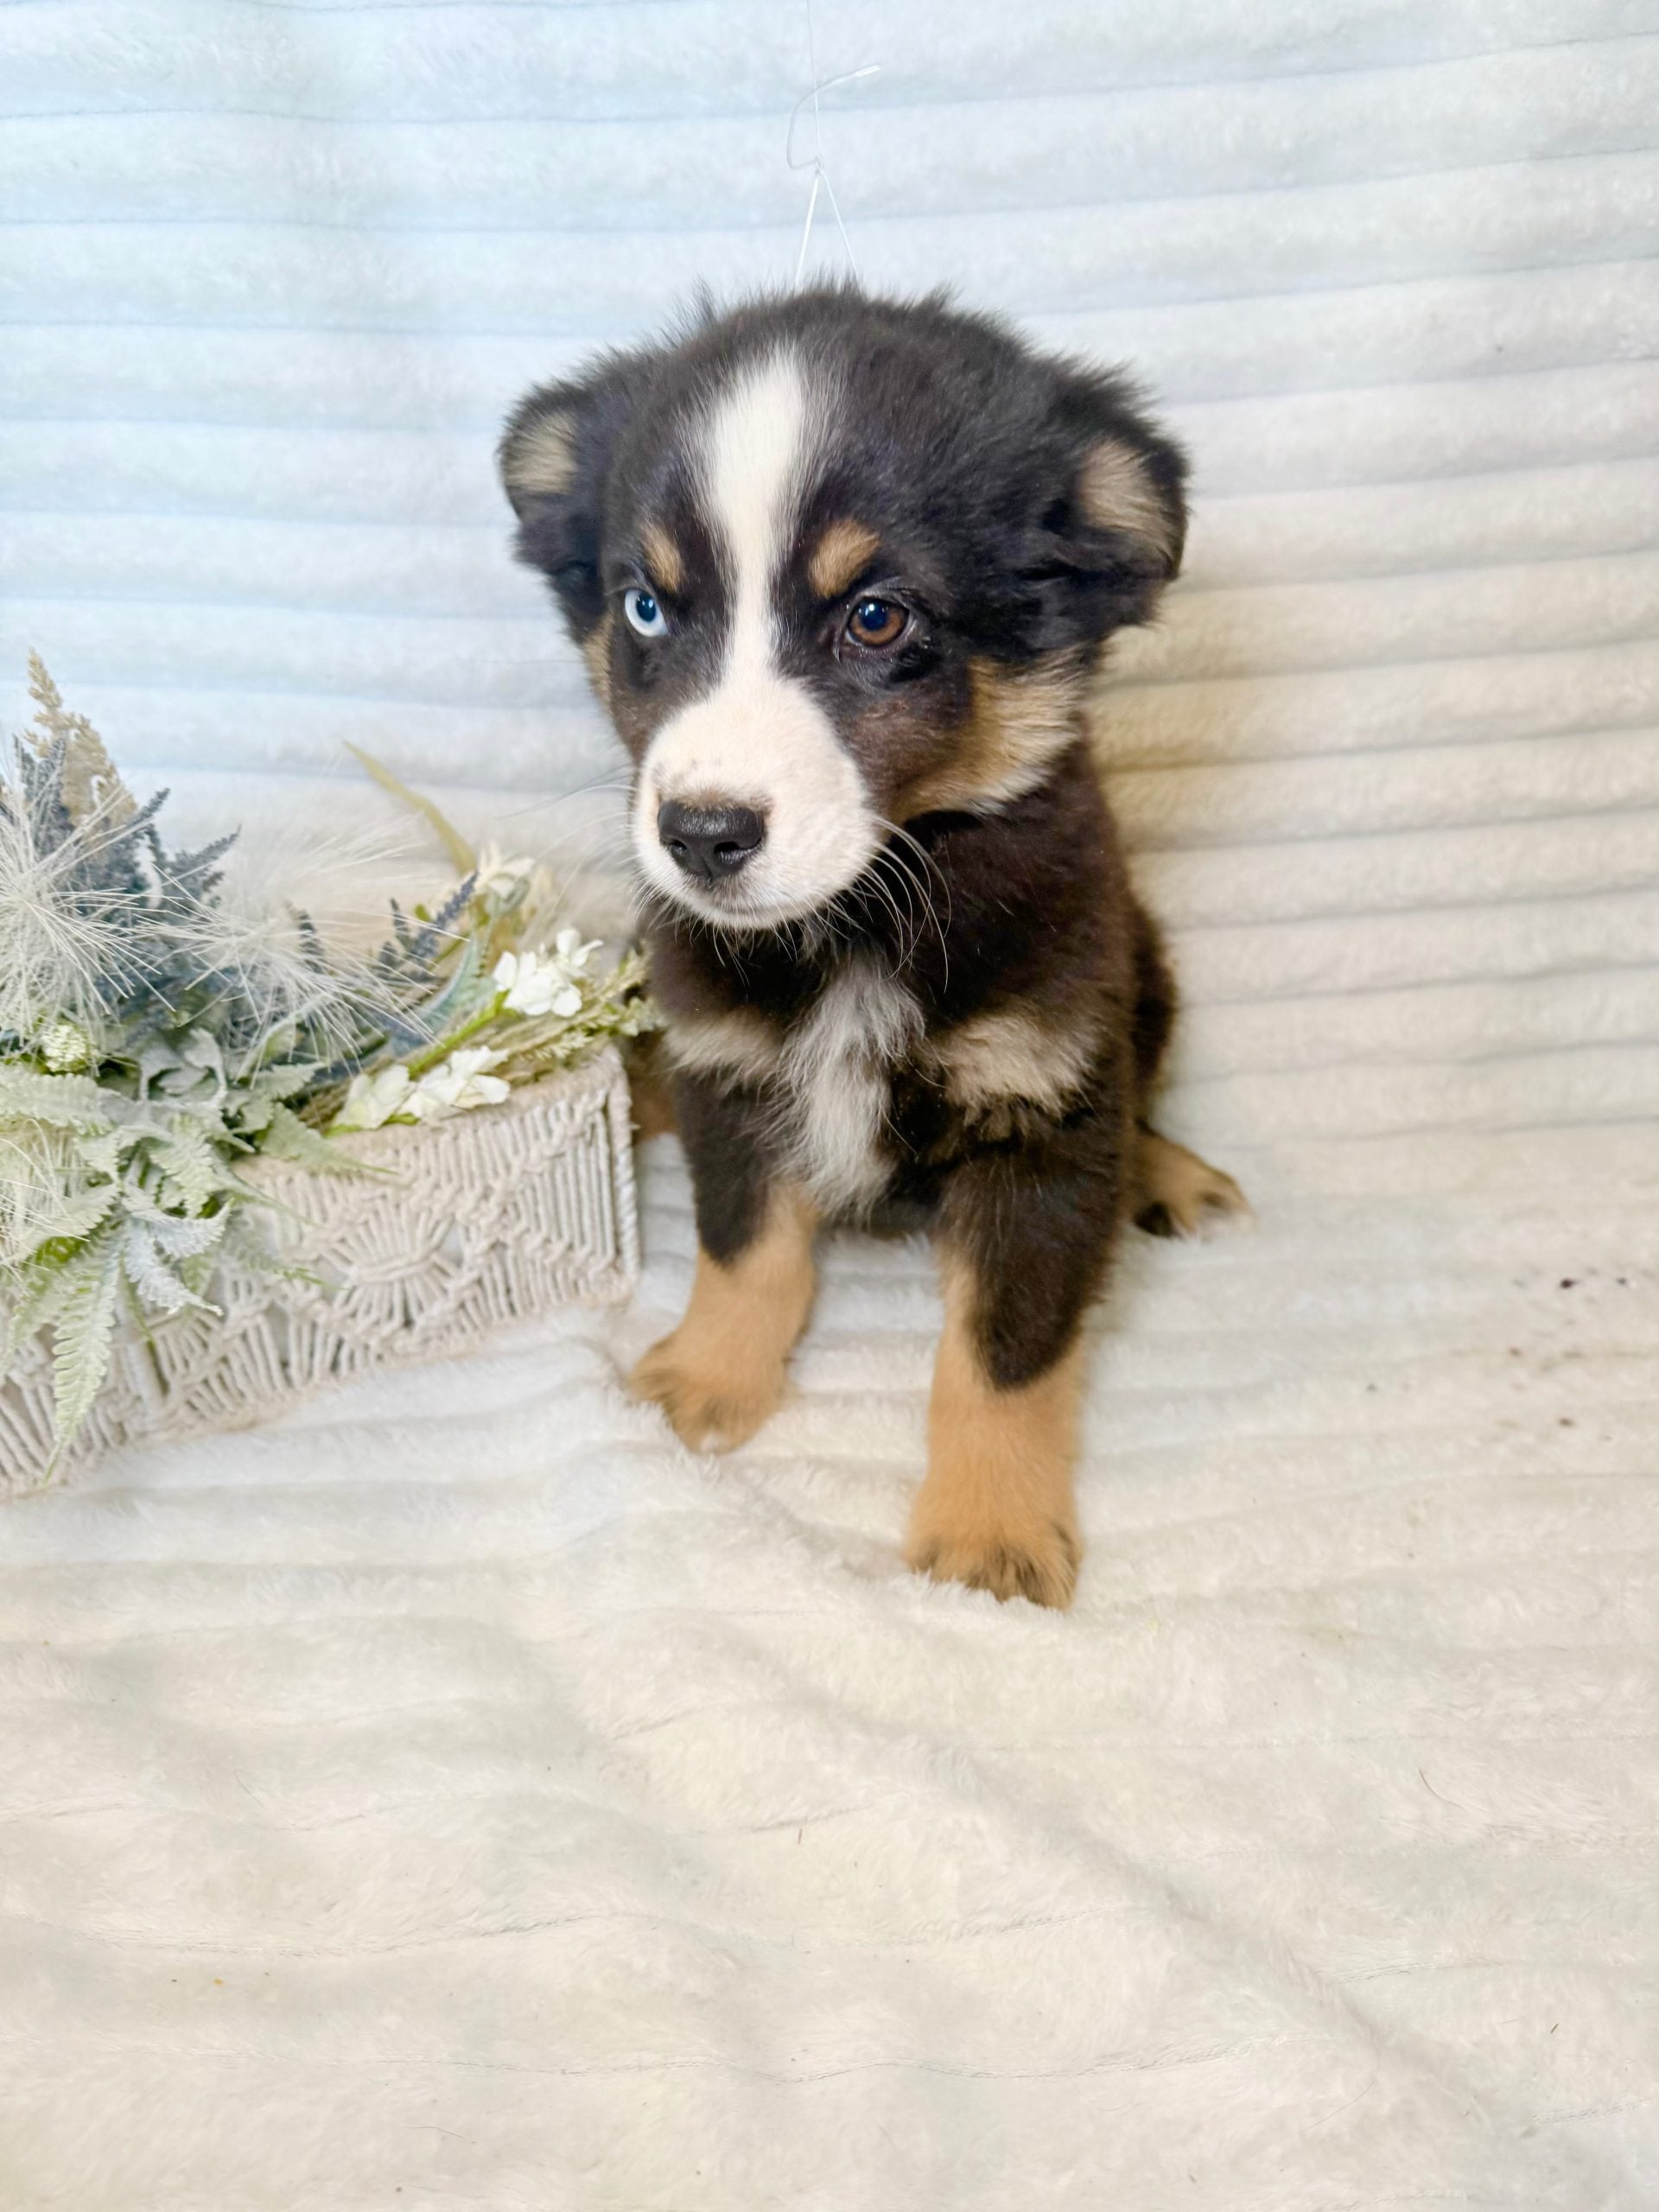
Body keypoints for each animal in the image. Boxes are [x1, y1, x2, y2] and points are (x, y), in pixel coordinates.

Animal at [499, 287, 1246, 1609]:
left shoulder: (1044, 1109)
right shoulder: (726, 1062)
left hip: (1143, 974)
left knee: (1136, 1099)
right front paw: (709, 1381)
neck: (861, 919)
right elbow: (746, 1247)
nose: (701, 835)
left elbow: (1006, 1348)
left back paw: (1168, 1173)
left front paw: (991, 1533)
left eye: (876, 615)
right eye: (645, 605)